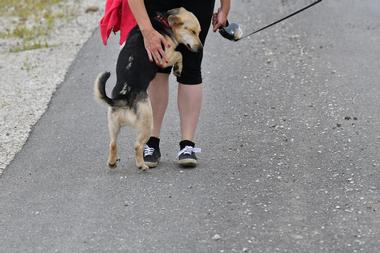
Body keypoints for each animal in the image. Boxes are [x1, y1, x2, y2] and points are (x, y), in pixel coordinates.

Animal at [94, 7, 203, 170]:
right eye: (192, 31)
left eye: (199, 31)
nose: (200, 48)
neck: (163, 21)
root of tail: (123, 98)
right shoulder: (165, 58)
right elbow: (179, 54)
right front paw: (178, 69)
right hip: (147, 122)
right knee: (137, 146)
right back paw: (142, 165)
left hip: (113, 124)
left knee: (112, 144)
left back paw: (112, 163)